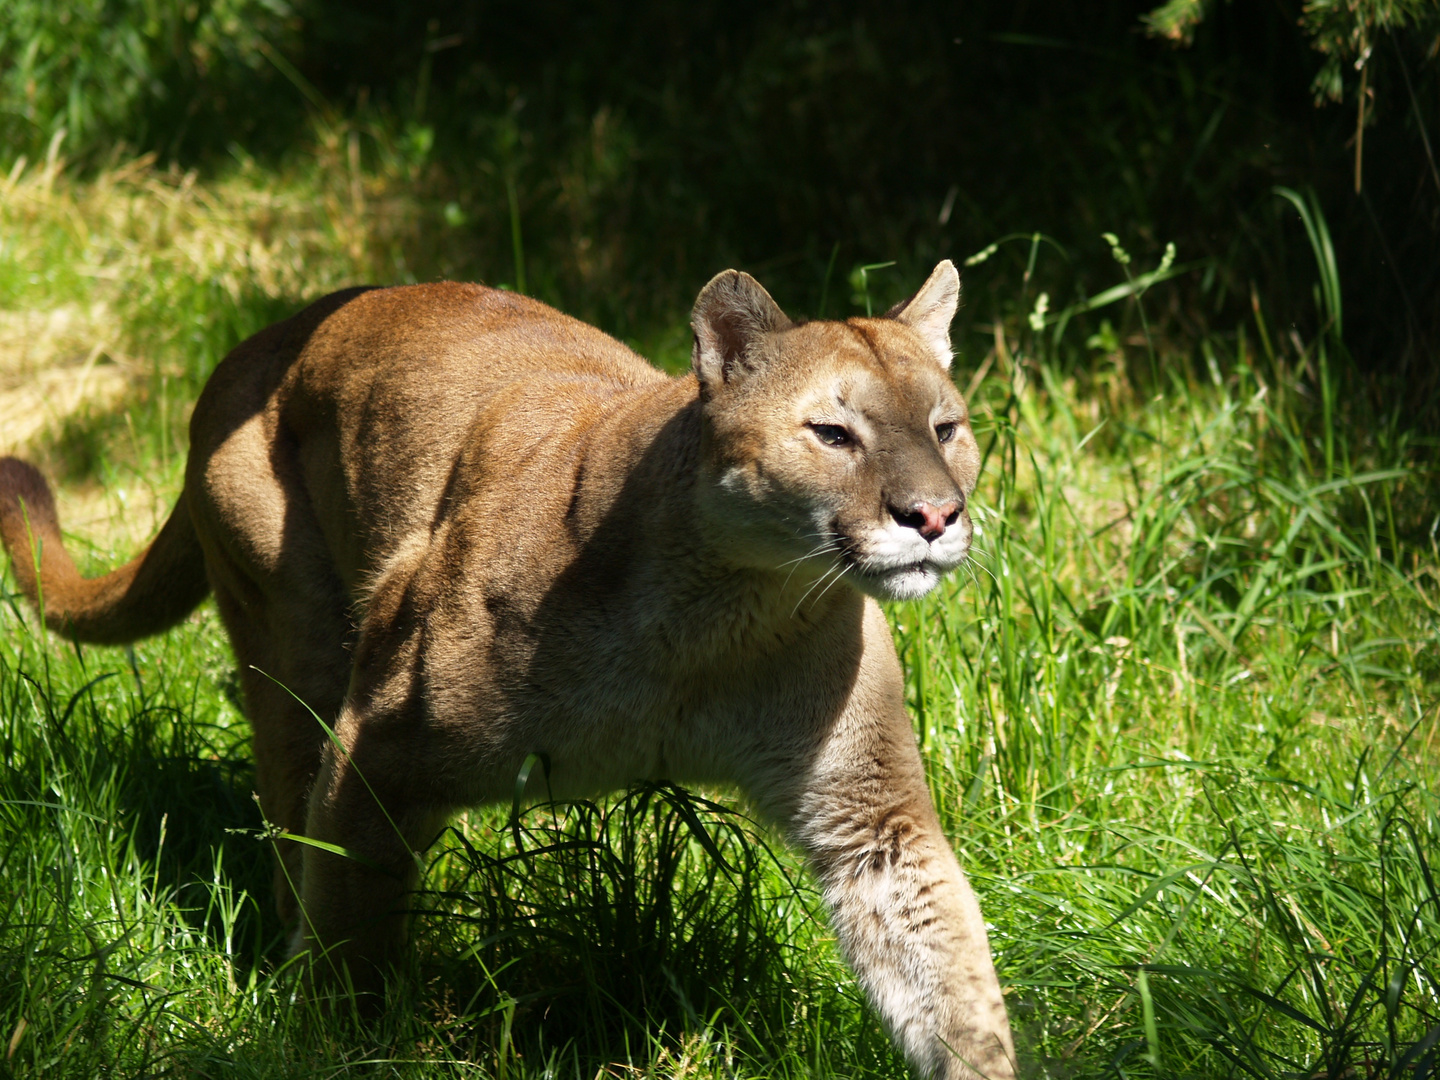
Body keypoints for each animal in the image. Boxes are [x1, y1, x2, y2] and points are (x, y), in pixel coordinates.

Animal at [0, 264, 1019, 1080]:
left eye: (947, 427)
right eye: (833, 435)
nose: (934, 515)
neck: (716, 620)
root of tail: (264, 338)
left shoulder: (869, 816)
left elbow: (947, 970)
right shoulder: (380, 746)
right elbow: (349, 928)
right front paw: (334, 1046)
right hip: (293, 651)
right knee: (296, 835)